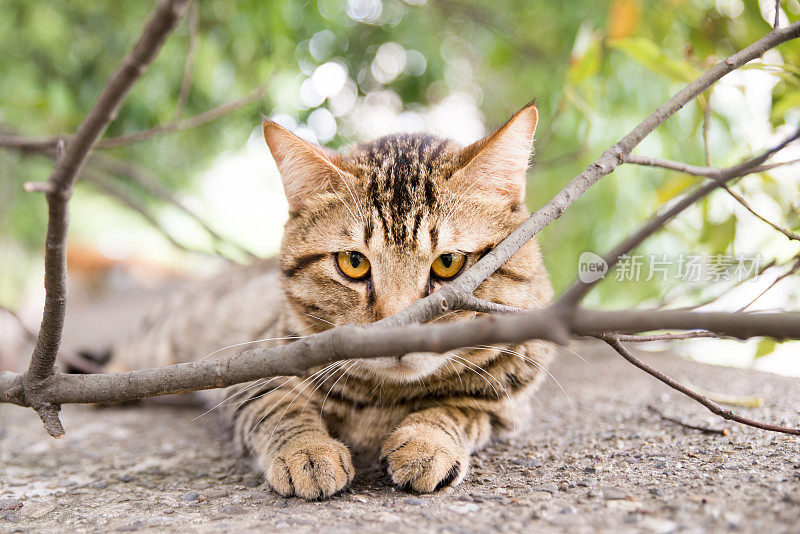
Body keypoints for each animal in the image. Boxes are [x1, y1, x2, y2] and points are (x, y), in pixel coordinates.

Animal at [109, 101, 552, 502]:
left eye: (448, 263)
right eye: (353, 263)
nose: (396, 333)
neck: (385, 400)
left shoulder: (507, 403)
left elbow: (457, 410)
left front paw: (426, 442)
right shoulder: (255, 372)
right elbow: (282, 408)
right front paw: (308, 452)